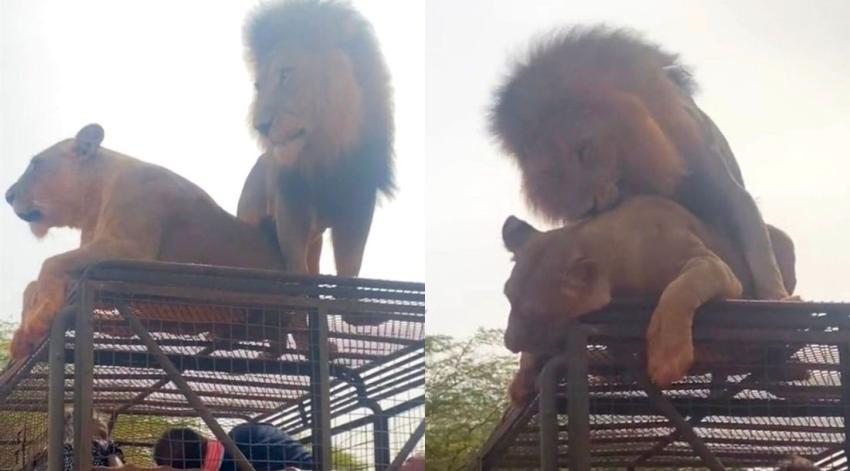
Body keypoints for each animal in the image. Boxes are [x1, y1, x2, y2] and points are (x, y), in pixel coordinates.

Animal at [4, 123, 292, 360]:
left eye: (35, 163)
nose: (7, 195)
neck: (92, 205)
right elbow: (32, 285)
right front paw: (22, 337)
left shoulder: (131, 249)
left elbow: (50, 262)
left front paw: (38, 321)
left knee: (275, 341)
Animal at [238, 0, 394, 304]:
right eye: (258, 86)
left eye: (286, 75)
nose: (260, 126)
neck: (325, 156)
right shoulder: (290, 206)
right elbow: (297, 268)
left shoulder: (358, 207)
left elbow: (349, 270)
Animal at [490, 24, 788, 298]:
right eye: (551, 172)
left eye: (585, 150)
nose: (586, 209)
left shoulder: (722, 183)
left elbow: (758, 246)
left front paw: (776, 295)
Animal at [496, 197, 796, 404]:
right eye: (508, 296)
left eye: (535, 313)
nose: (509, 342)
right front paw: (521, 380)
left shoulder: (714, 266)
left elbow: (679, 289)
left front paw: (666, 359)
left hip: (780, 242)